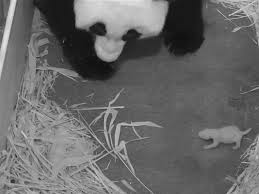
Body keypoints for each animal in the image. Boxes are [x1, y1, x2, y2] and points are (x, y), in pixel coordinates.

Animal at [34, 0, 205, 80]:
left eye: (131, 34)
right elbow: (62, 14)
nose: (107, 57)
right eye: (97, 28)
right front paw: (94, 65)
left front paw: (184, 39)